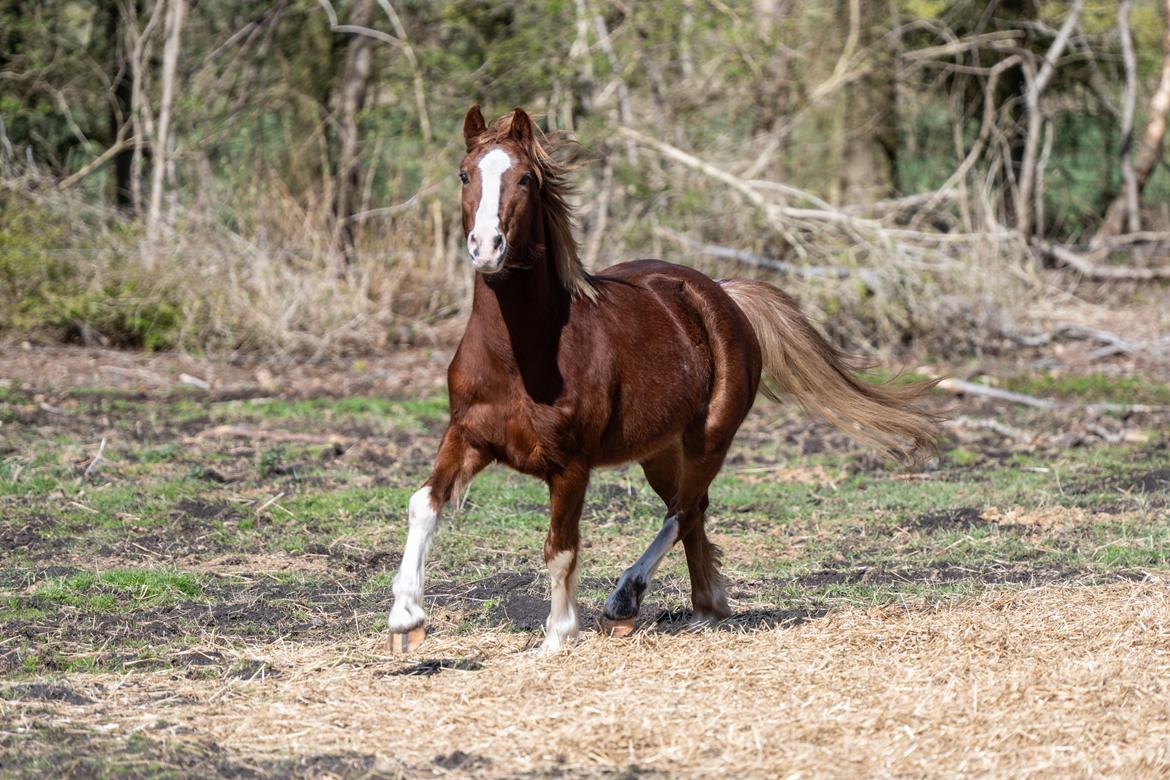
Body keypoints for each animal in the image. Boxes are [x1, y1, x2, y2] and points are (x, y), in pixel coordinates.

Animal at [387, 106, 941, 653]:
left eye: (525, 177)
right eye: (465, 174)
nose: (486, 247)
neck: (521, 358)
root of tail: (722, 292)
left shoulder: (570, 466)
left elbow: (561, 547)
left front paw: (558, 636)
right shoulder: (467, 436)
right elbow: (423, 505)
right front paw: (405, 618)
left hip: (709, 438)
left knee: (684, 509)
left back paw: (626, 601)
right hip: (657, 451)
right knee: (693, 510)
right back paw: (703, 609)